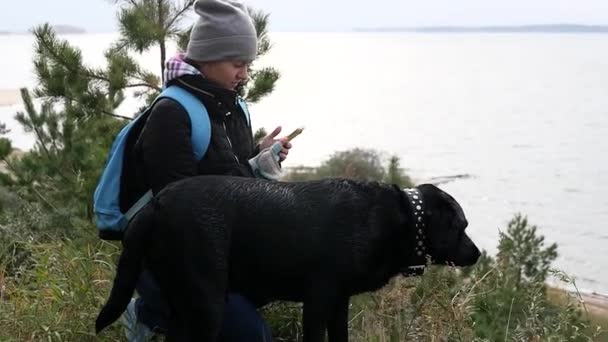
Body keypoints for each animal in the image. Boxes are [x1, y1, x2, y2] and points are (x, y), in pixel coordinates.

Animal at [96, 176, 480, 342]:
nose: (477, 254)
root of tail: (155, 204)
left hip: (184, 301)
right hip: (208, 301)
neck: (387, 218)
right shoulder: (318, 300)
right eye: (462, 226)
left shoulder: (339, 303)